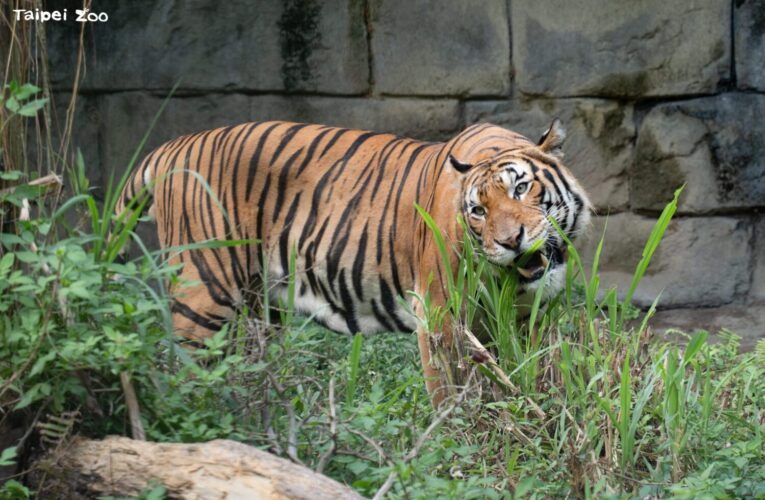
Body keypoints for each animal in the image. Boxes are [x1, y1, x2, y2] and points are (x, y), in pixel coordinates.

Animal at [115, 119, 591, 406]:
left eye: (521, 188)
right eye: (478, 210)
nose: (510, 241)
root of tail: (172, 147)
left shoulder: (529, 317)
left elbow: (529, 369)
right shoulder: (439, 312)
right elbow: (449, 389)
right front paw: (458, 439)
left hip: (257, 312)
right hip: (203, 294)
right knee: (179, 372)